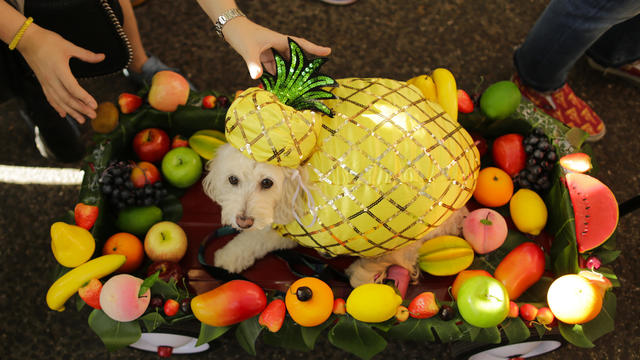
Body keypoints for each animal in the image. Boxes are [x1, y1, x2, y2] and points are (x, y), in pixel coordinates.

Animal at [202, 143, 468, 286]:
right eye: (232, 180)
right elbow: (256, 238)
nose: (243, 220)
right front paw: (231, 256)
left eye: (267, 183)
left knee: (402, 251)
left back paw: (364, 271)